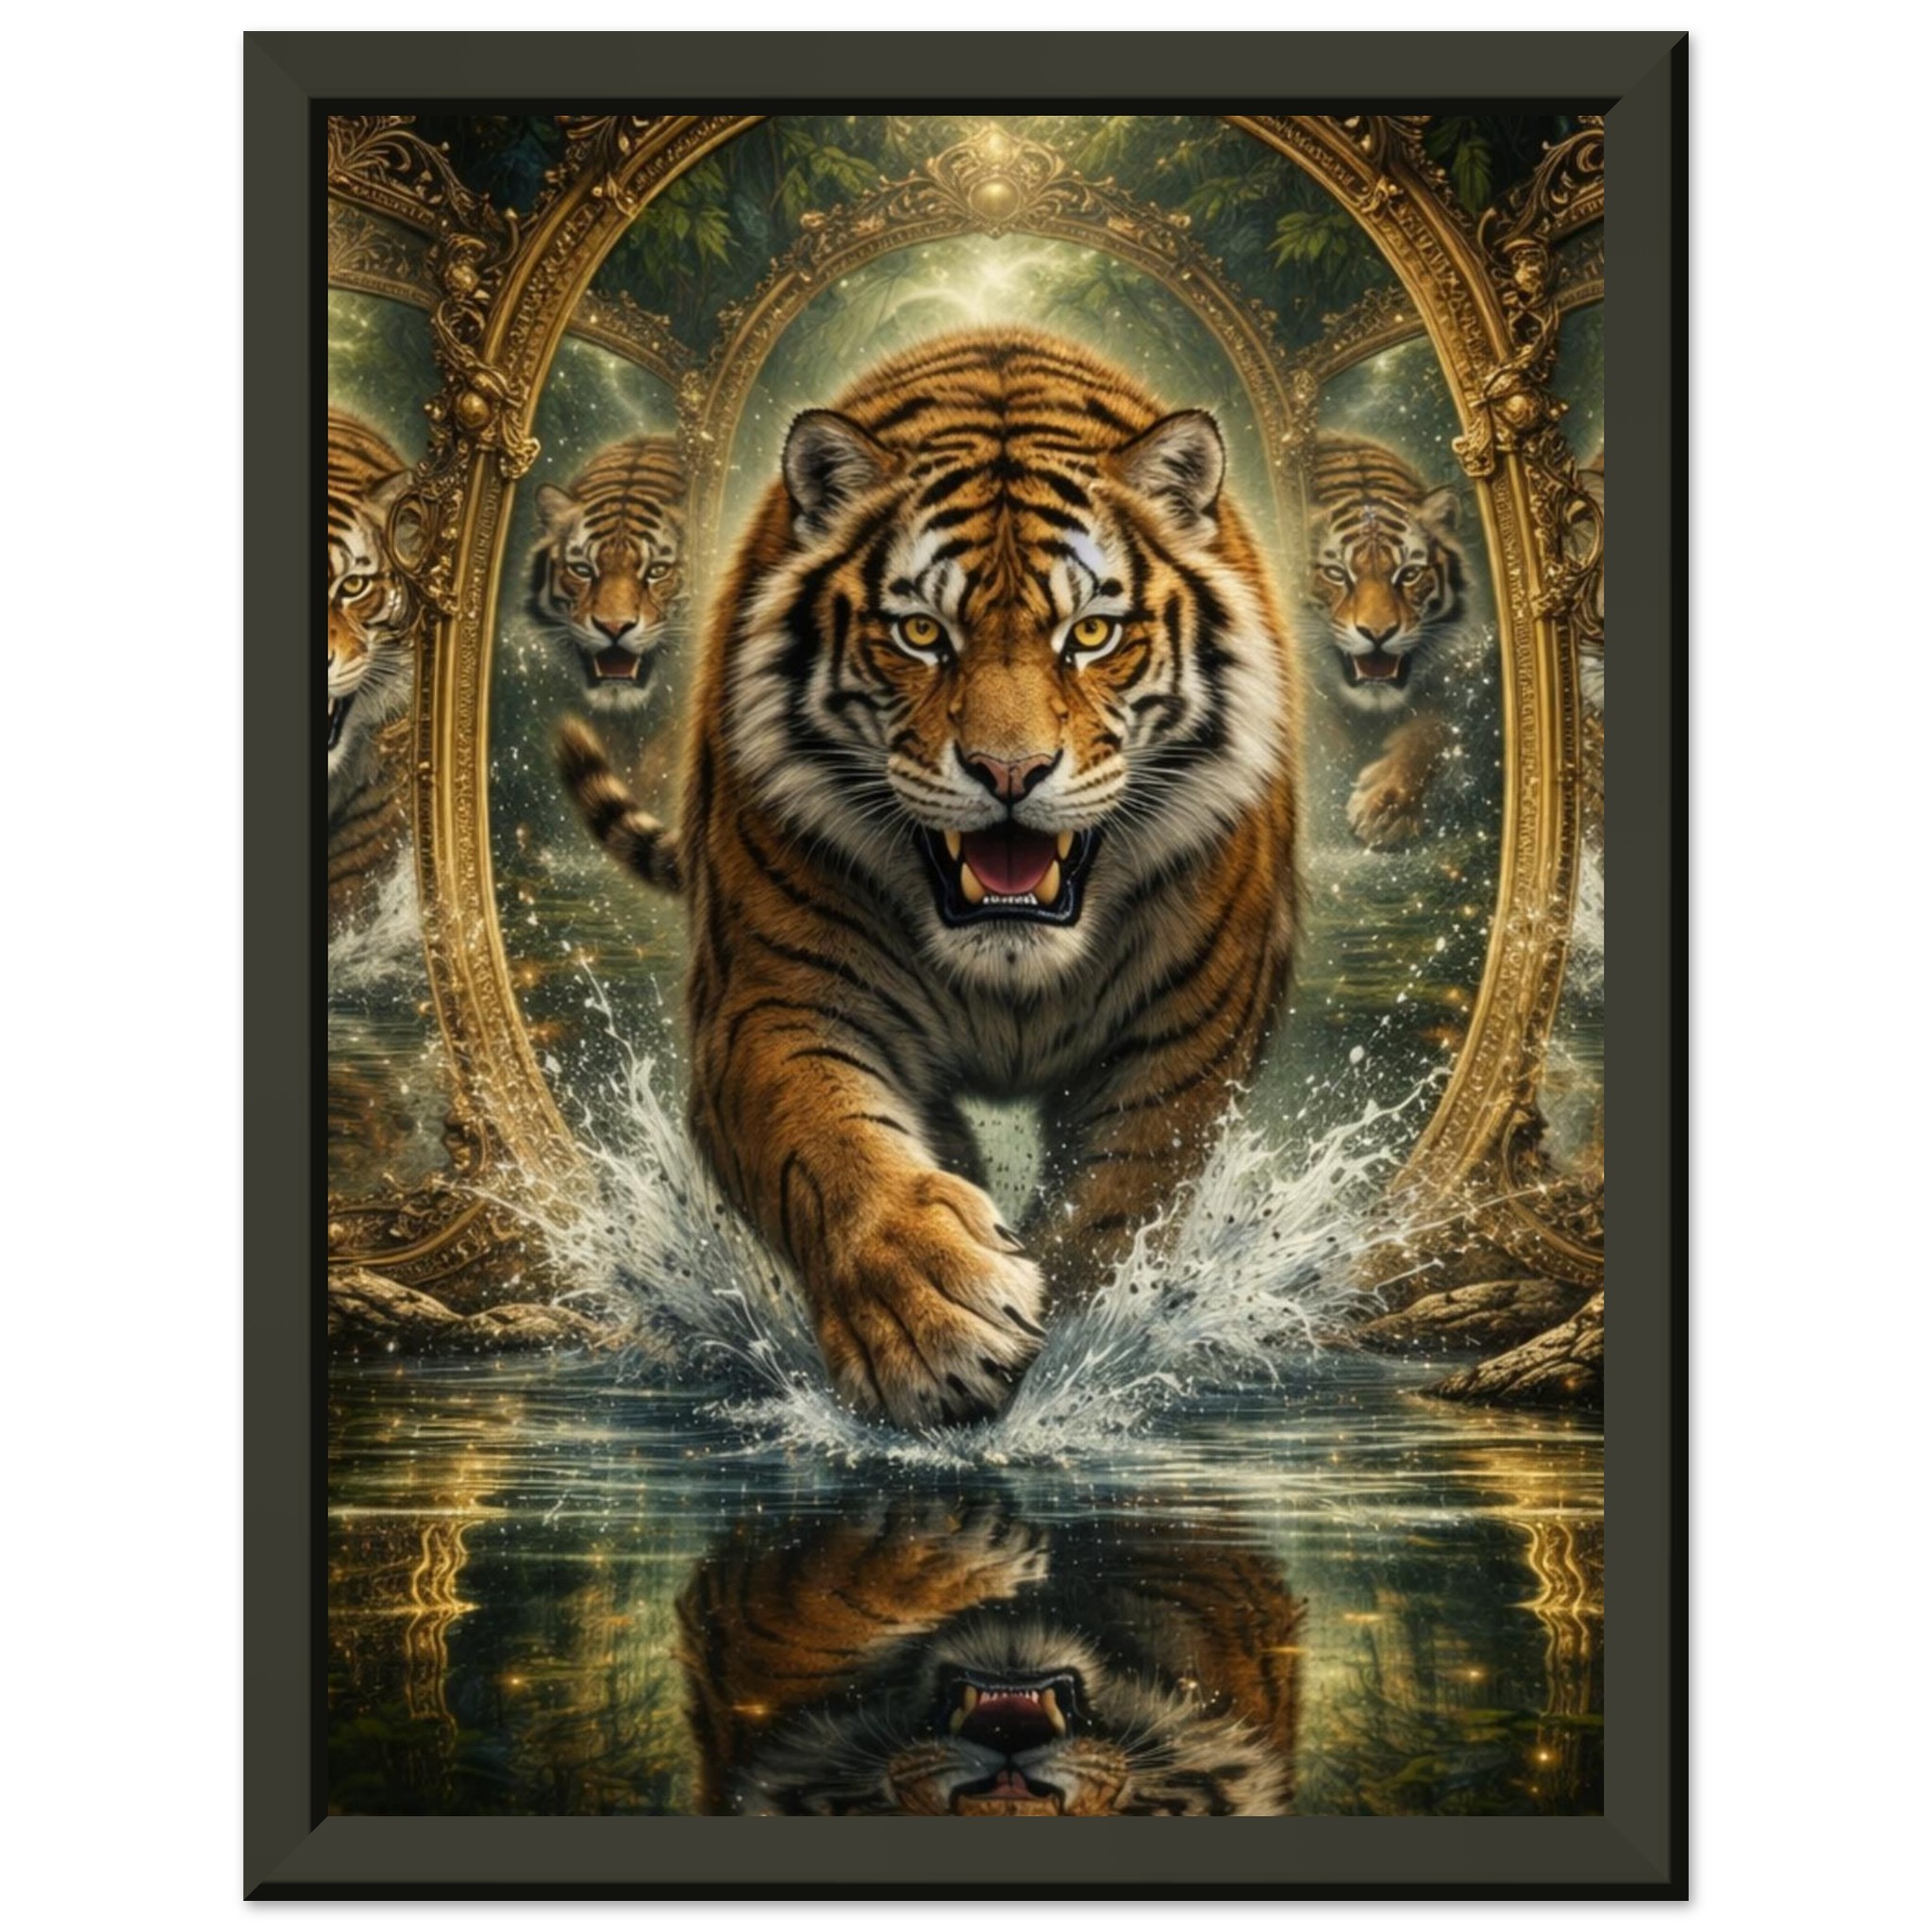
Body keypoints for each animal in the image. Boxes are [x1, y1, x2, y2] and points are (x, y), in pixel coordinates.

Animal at [562, 328, 1299, 1429]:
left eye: (1090, 635)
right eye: (921, 635)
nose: (1008, 772)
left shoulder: (1185, 1042)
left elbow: (1117, 1201)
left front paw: (1078, 1348)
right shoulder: (770, 1006)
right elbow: (831, 1144)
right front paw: (930, 1318)